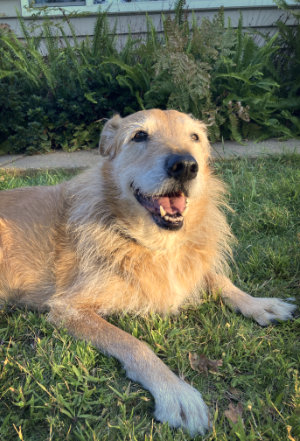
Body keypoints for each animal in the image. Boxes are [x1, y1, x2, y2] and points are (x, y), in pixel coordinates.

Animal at [0, 109, 296, 434]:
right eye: (139, 135)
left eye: (195, 137)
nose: (185, 166)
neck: (156, 244)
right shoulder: (69, 308)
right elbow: (134, 343)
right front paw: (175, 392)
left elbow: (217, 278)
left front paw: (258, 303)